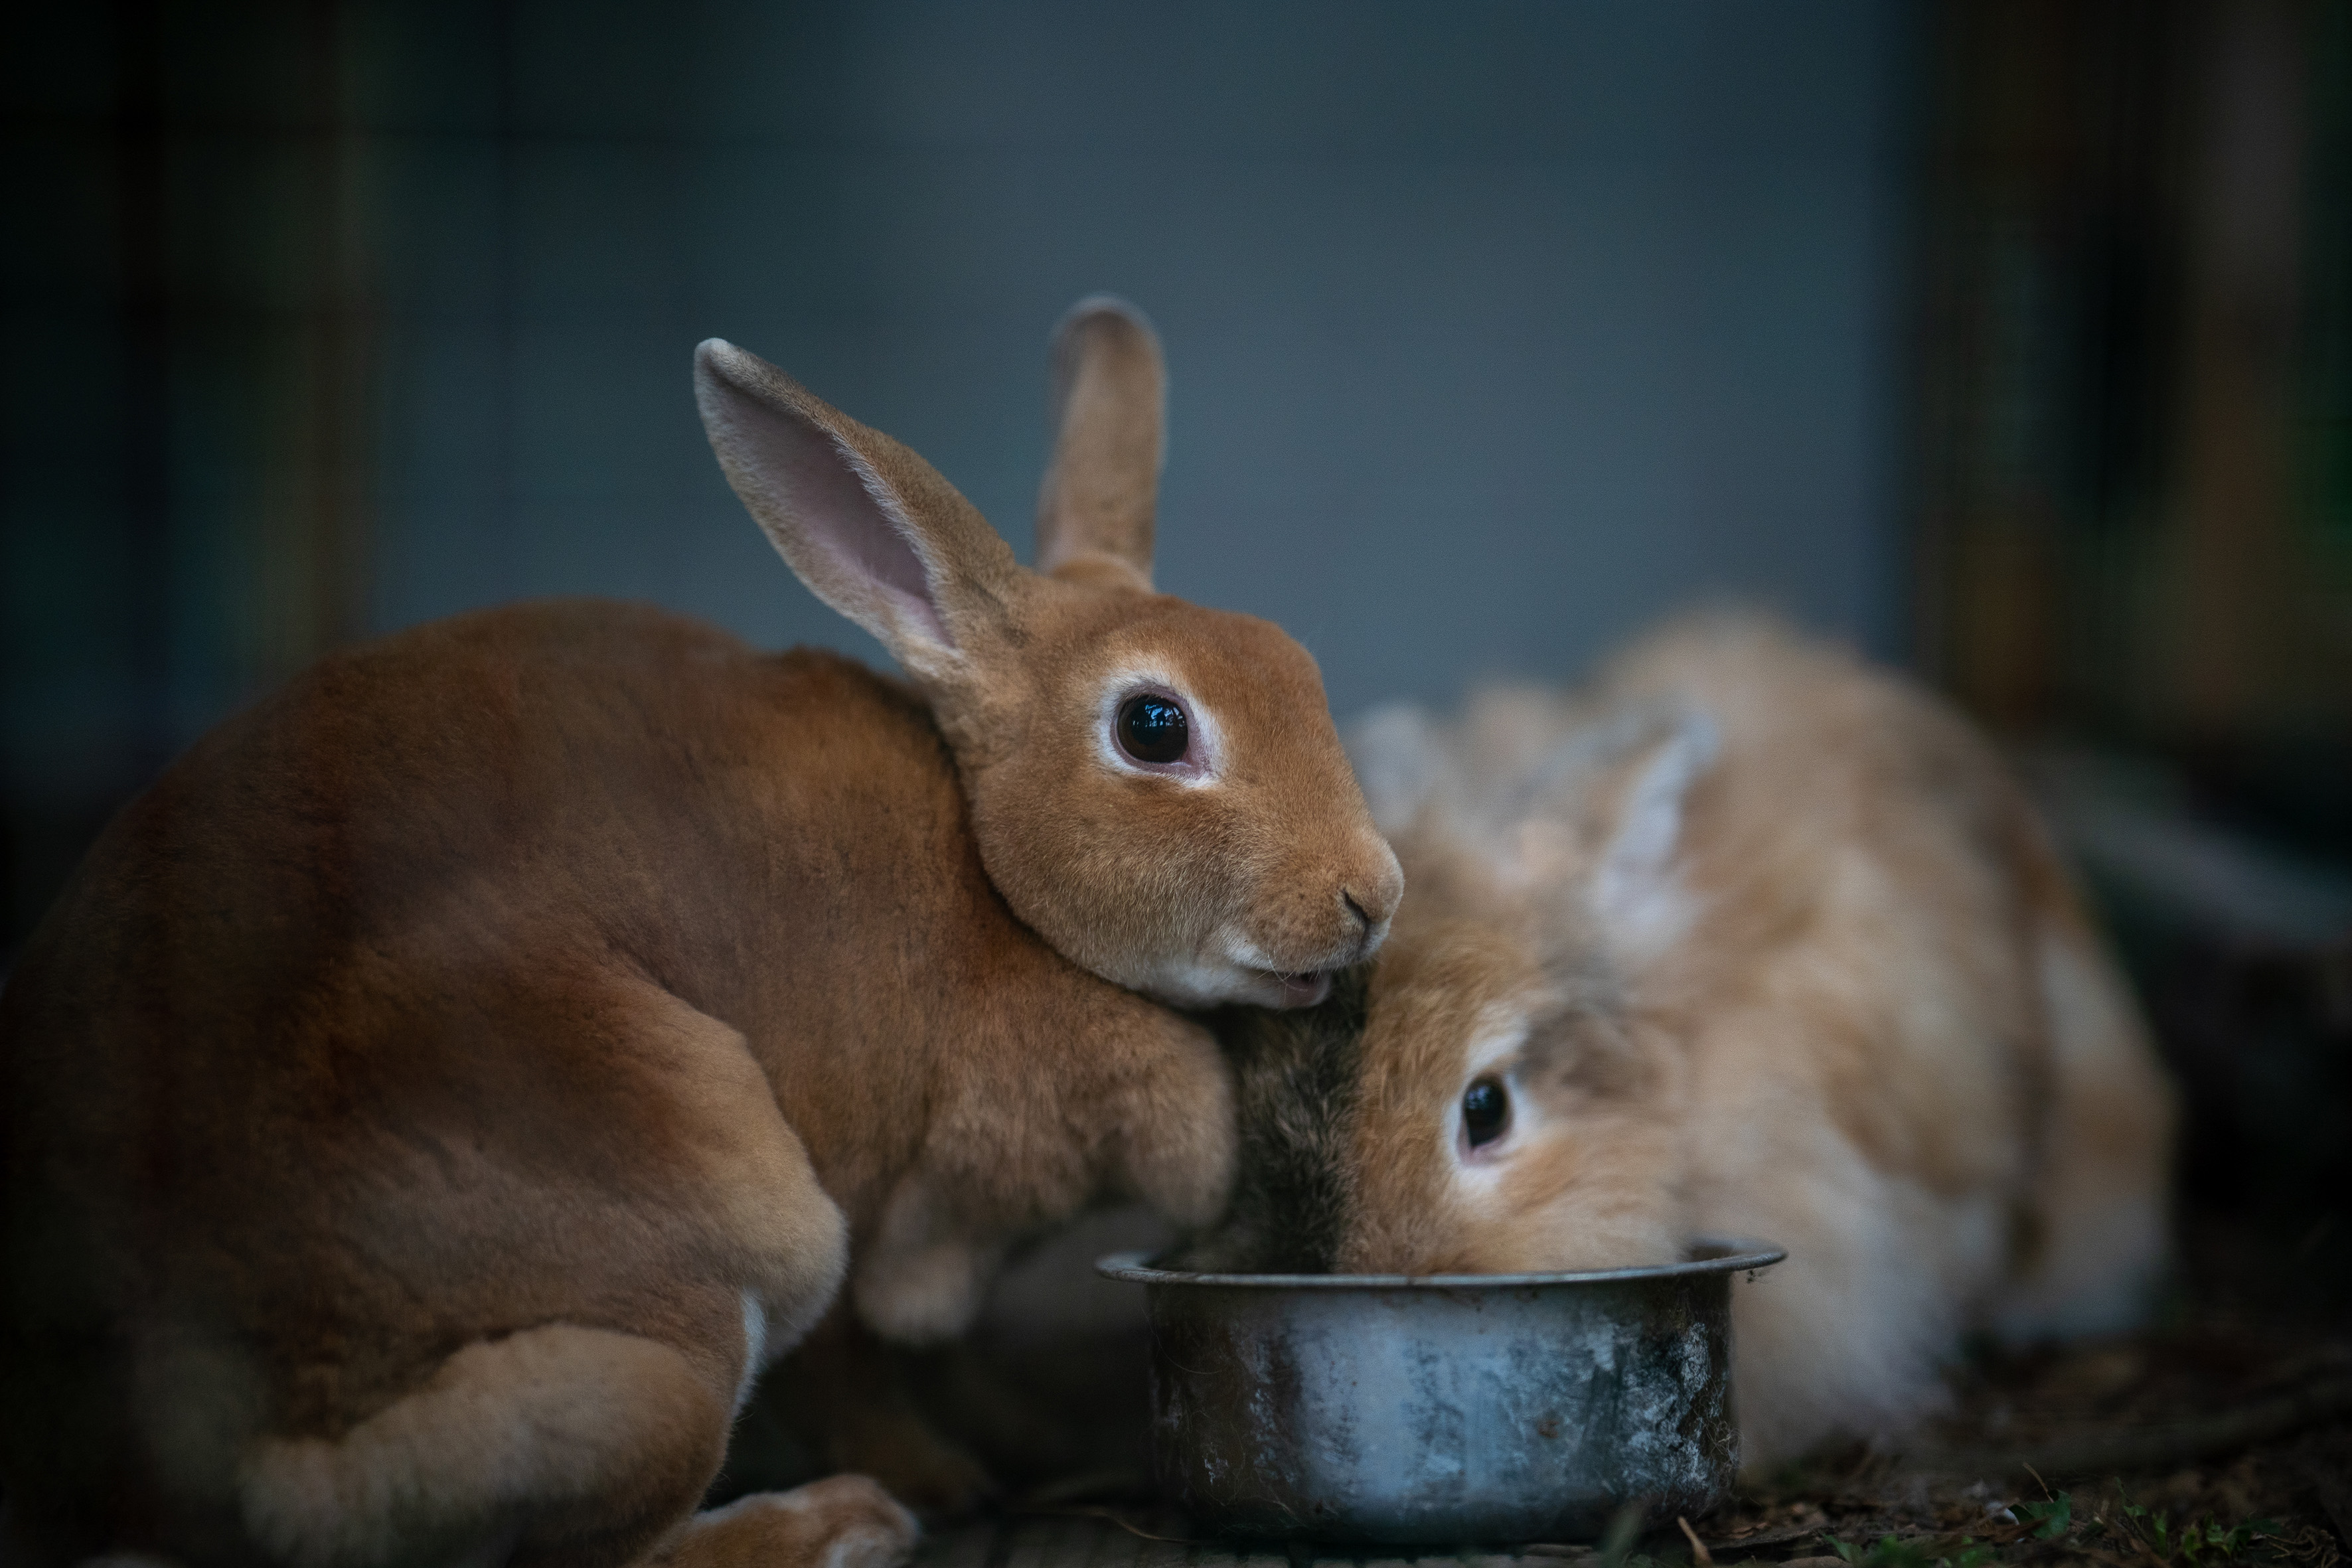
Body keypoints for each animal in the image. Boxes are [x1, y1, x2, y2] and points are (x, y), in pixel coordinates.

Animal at [0, 299, 1402, 1568]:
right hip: (690, 1296)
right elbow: (856, 1363)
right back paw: (832, 1525)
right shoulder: (876, 1197)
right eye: (1153, 728)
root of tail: (151, 1446)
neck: (989, 876)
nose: (1371, 896)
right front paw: (942, 1477)